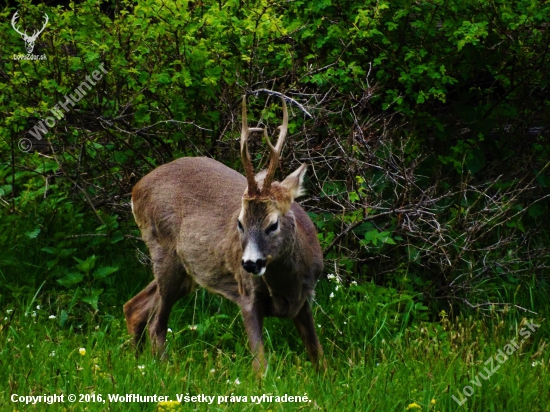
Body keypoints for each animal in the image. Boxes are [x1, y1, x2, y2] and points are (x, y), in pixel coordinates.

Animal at [125, 95, 324, 372]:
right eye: (239, 223)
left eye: (273, 224)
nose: (250, 263)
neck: (287, 283)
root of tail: (136, 189)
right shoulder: (247, 296)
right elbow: (261, 366)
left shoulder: (305, 299)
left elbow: (319, 358)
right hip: (164, 252)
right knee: (156, 325)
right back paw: (163, 371)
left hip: (186, 272)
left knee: (134, 307)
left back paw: (137, 364)